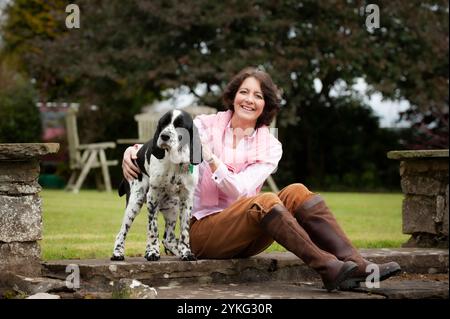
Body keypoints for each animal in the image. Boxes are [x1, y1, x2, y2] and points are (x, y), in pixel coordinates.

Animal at [111, 110, 203, 262]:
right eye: (163, 123)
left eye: (180, 125)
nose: (164, 136)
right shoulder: (153, 197)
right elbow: (153, 230)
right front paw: (153, 252)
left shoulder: (187, 199)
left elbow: (184, 231)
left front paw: (186, 252)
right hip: (135, 202)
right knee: (122, 232)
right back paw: (118, 253)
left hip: (173, 207)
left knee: (168, 238)